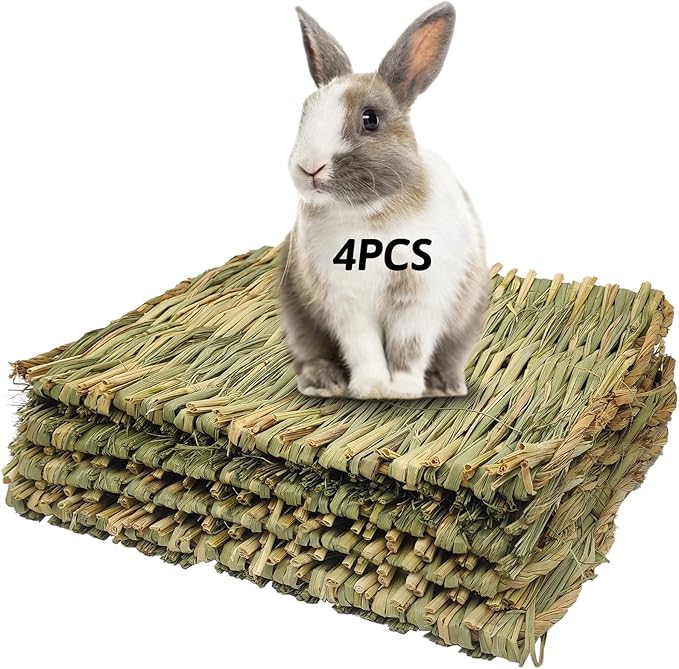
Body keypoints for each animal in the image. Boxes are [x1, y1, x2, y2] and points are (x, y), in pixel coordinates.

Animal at [278, 2, 488, 400]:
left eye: (370, 119)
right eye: (304, 112)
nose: (309, 167)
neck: (371, 213)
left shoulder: (421, 297)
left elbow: (410, 346)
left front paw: (402, 389)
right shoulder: (346, 302)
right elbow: (364, 346)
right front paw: (373, 388)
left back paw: (445, 386)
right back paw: (324, 383)